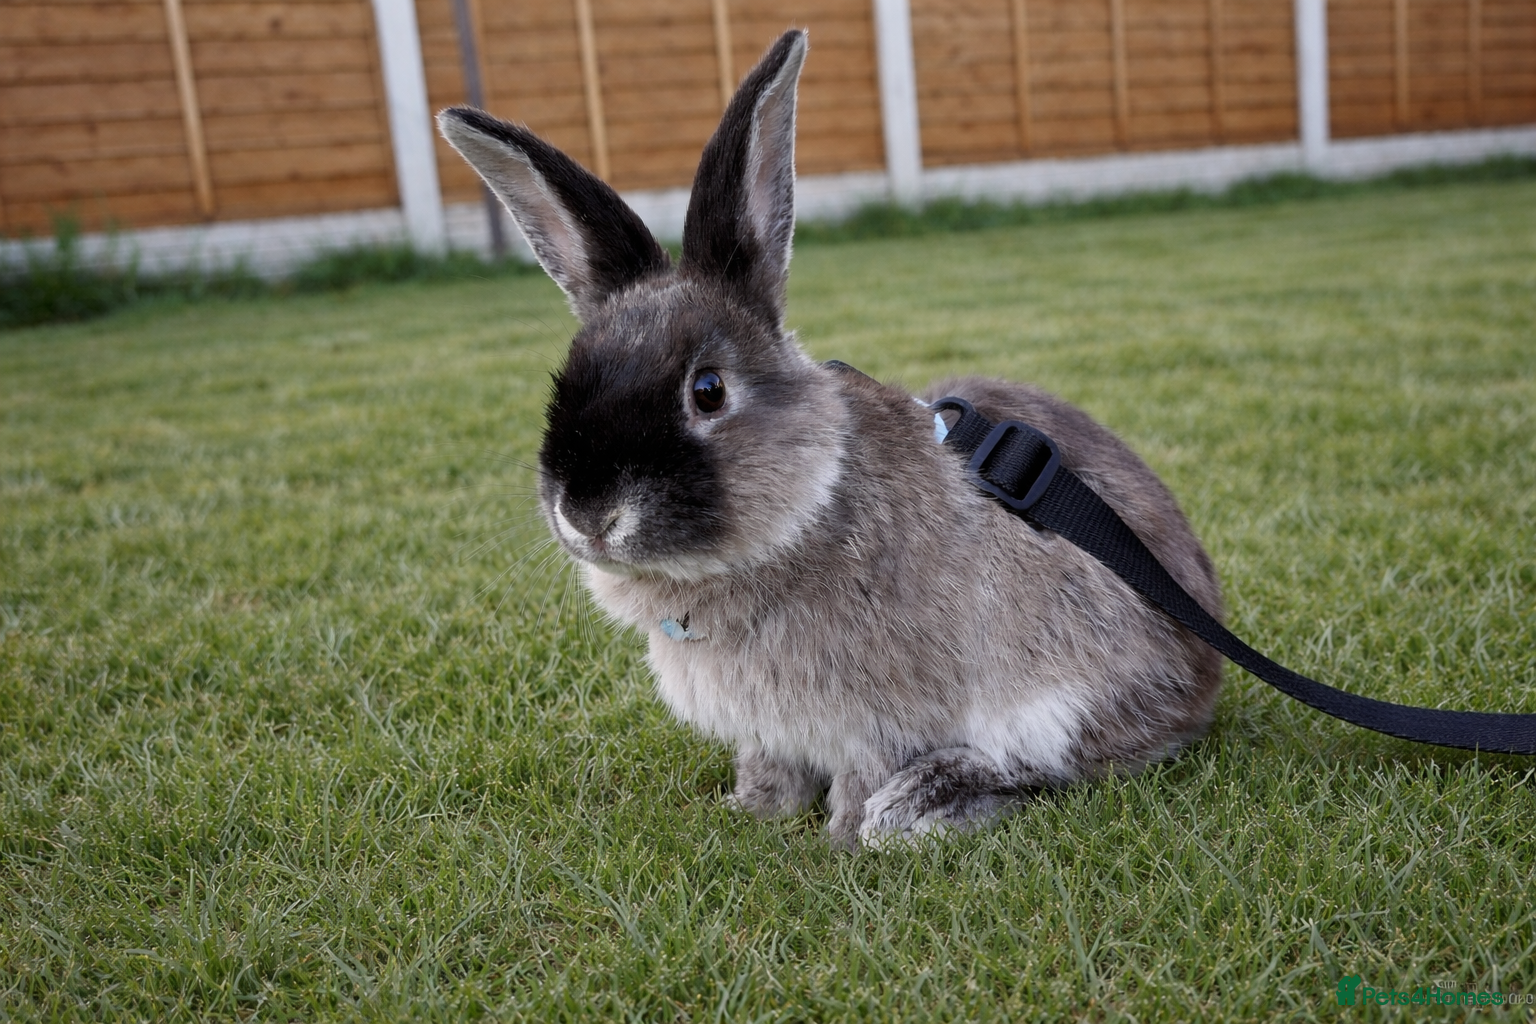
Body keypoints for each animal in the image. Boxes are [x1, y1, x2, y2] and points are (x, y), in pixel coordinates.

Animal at [437, 29, 1224, 850]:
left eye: (707, 391)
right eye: (565, 381)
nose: (588, 513)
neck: (804, 513)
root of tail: (1204, 672)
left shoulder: (877, 722)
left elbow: (859, 776)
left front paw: (841, 841)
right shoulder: (769, 731)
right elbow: (770, 768)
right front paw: (753, 812)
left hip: (1064, 700)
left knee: (1054, 769)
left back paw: (918, 806)